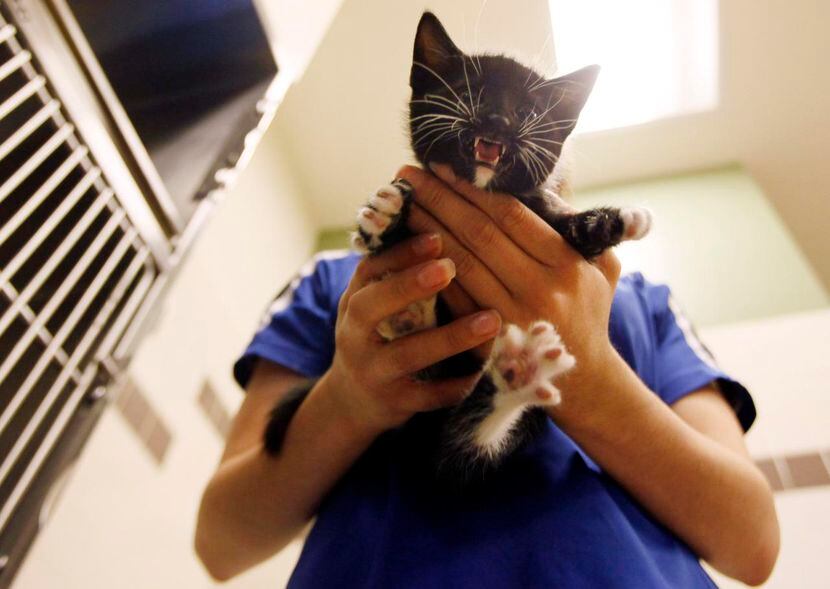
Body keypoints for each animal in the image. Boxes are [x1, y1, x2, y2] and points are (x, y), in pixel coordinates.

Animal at [264, 11, 652, 484]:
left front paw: (614, 219)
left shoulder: (542, 209)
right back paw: (415, 316)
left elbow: (571, 229)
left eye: (528, 112)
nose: (497, 119)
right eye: (469, 94)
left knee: (460, 452)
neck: (480, 188)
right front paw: (385, 216)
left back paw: (517, 373)